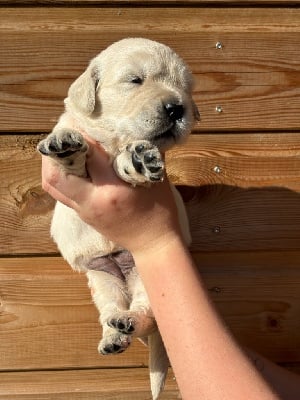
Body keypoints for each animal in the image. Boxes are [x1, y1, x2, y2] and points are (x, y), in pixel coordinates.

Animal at [38, 38, 199, 400]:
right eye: (135, 80)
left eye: (185, 87)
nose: (177, 108)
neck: (112, 137)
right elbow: (70, 144)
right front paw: (66, 146)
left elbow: (130, 157)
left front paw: (136, 161)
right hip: (102, 280)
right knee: (110, 310)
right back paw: (113, 335)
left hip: (146, 278)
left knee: (146, 312)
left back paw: (130, 322)